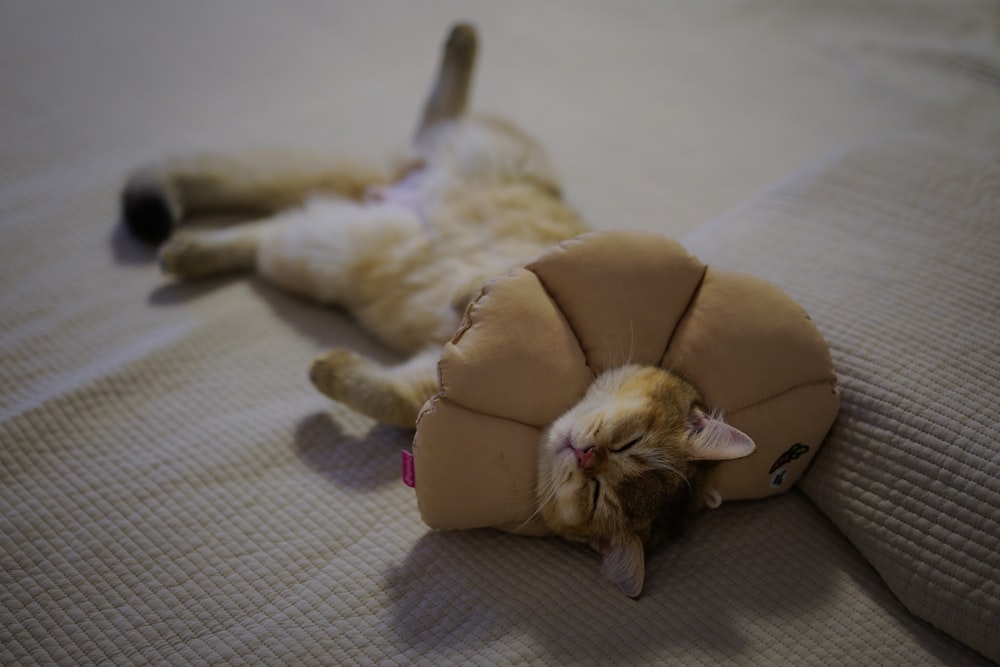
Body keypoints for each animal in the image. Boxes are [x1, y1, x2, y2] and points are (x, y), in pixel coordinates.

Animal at [119, 24, 584, 428]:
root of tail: (398, 182)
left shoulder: (434, 383)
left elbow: (392, 399)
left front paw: (329, 369)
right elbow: (489, 286)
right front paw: (468, 300)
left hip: (317, 250)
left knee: (260, 232)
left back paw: (187, 253)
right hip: (483, 147)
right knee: (439, 113)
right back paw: (463, 37)